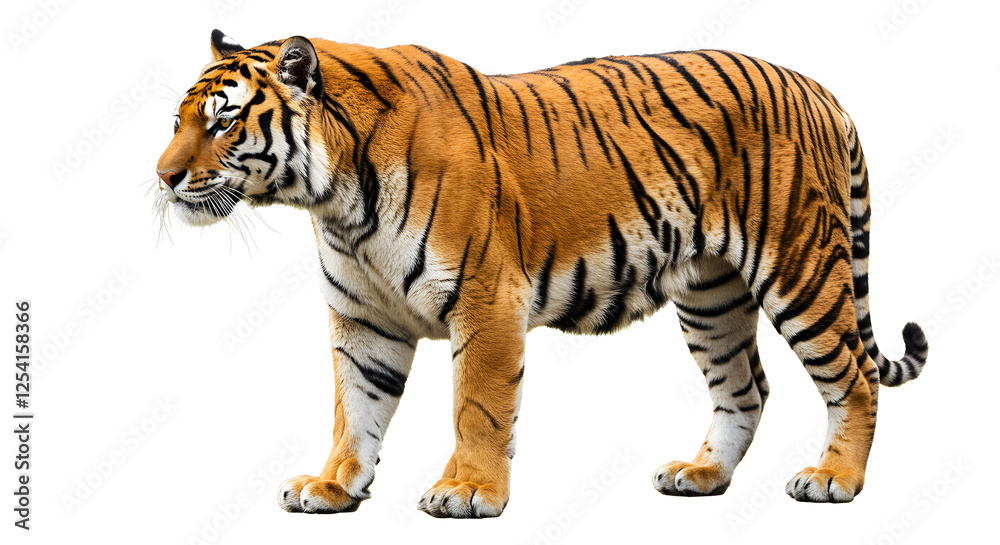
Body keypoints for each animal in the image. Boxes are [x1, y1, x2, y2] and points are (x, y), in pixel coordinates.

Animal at [154, 29, 929, 518]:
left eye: (222, 123)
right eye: (177, 122)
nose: (162, 178)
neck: (334, 199)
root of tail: (821, 90)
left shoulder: (486, 299)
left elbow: (477, 405)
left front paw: (467, 491)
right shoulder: (363, 318)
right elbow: (355, 409)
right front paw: (333, 485)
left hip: (800, 267)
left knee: (855, 376)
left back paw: (834, 479)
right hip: (711, 293)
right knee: (747, 387)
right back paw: (700, 474)